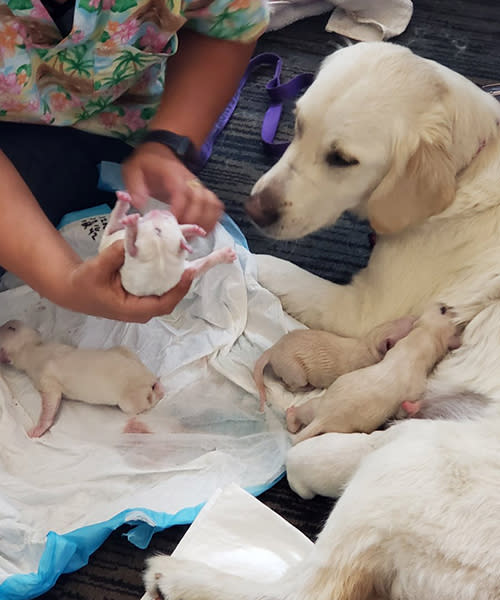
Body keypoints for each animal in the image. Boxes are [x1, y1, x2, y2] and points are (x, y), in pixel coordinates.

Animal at [0, 318, 162, 436]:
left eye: (8, 327)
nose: (5, 321)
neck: (33, 347)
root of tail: (148, 377)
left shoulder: (44, 377)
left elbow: (51, 401)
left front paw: (39, 428)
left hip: (132, 398)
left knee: (139, 404)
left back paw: (159, 391)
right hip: (127, 354)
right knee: (123, 349)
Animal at [99, 191, 238, 296]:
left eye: (158, 229)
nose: (160, 211)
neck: (160, 258)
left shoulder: (182, 271)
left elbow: (204, 263)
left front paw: (225, 255)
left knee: (116, 220)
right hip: (109, 234)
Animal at [254, 314, 414, 408]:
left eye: (397, 321)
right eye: (405, 330)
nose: (412, 318)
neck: (367, 344)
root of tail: (273, 350)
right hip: (293, 369)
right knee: (291, 385)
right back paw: (307, 387)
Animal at [288, 302, 462, 442]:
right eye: (444, 310)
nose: (445, 304)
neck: (420, 339)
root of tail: (322, 418)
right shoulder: (415, 390)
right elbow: (405, 409)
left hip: (315, 405)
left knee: (300, 411)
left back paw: (291, 417)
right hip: (338, 428)